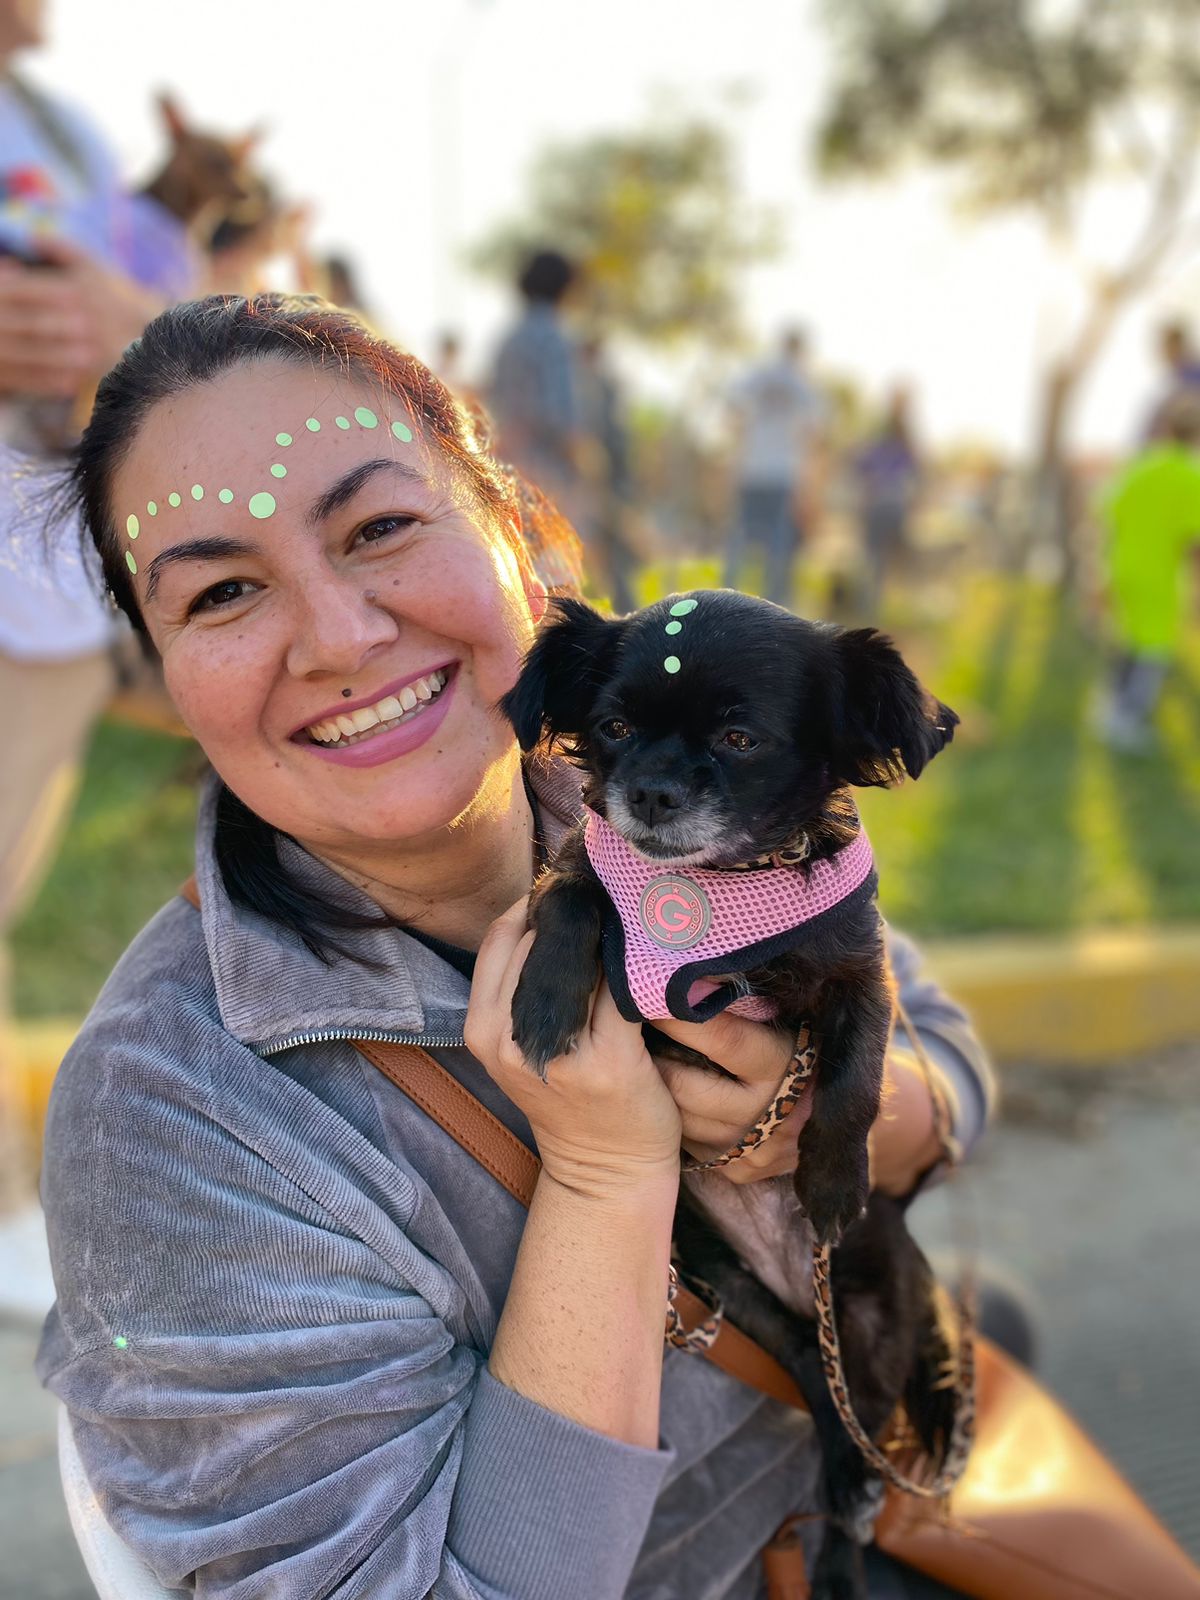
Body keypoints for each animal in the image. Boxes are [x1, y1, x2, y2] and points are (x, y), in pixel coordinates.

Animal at [502, 592, 966, 1600]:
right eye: (615, 728)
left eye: (740, 738)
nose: (650, 792)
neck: (715, 885)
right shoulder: (586, 874)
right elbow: (573, 890)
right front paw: (546, 1000)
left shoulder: (860, 976)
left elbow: (854, 1078)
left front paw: (831, 1180)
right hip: (741, 1297)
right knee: (823, 1399)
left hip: (870, 1333)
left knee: (856, 1446)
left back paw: (843, 1546)